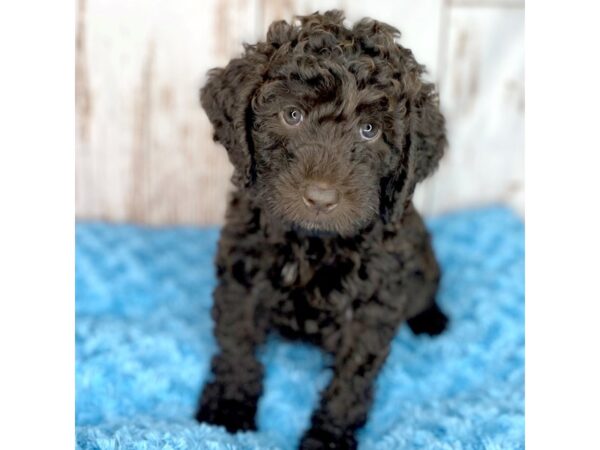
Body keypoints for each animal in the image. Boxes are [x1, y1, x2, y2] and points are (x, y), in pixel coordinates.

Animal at [195, 10, 448, 450]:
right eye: (291, 115)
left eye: (369, 130)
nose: (321, 197)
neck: (311, 243)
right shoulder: (243, 276)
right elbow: (237, 343)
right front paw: (228, 410)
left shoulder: (372, 305)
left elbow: (351, 379)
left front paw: (328, 436)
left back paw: (432, 320)